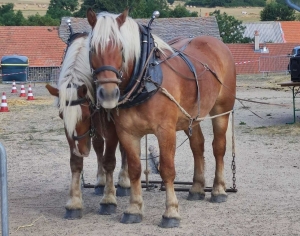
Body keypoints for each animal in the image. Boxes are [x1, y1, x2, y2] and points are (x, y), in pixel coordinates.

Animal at [45, 32, 129, 218]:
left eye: (85, 115)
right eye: (61, 115)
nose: (81, 150)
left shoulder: (111, 129)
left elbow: (110, 161)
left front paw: (109, 199)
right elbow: (76, 163)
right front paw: (74, 203)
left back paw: (124, 181)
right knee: (98, 148)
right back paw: (100, 182)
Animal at [86, 8, 237, 228]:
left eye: (121, 47)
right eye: (92, 49)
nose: (108, 94)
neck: (144, 78)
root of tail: (218, 45)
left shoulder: (165, 131)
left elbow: (167, 170)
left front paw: (171, 212)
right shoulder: (127, 133)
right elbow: (135, 169)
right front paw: (134, 208)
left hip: (222, 110)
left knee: (218, 147)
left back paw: (218, 190)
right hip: (191, 116)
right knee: (197, 146)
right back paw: (197, 188)